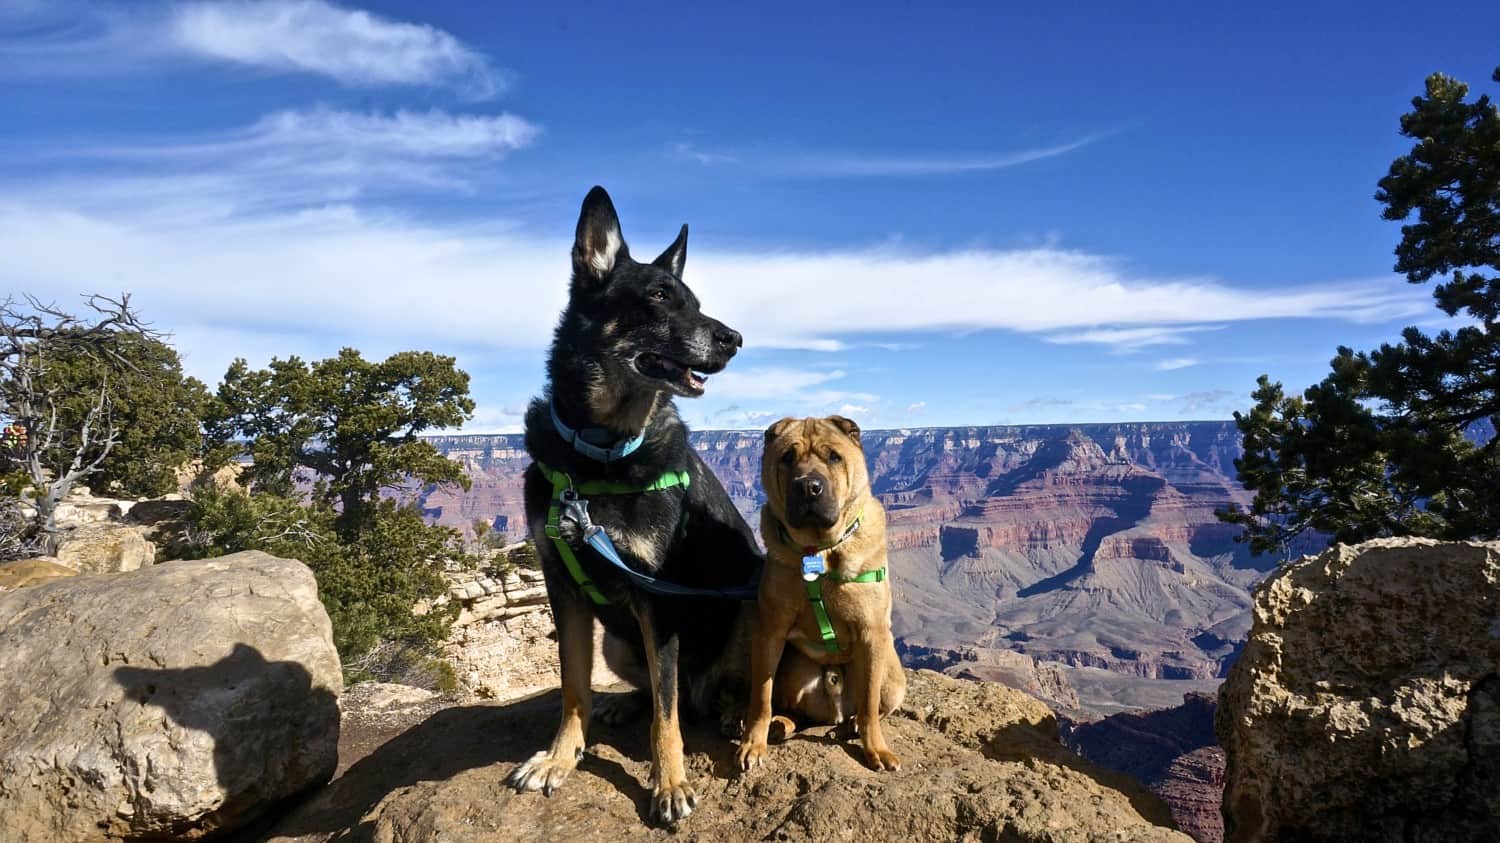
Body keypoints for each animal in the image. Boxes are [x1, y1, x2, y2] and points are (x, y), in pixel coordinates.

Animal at [504, 185, 762, 822]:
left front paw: (669, 783)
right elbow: (573, 686)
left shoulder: (655, 598)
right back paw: (626, 703)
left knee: (701, 694)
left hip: (752, 598)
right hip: (617, 642)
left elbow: (668, 721)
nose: (734, 338)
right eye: (658, 297)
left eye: (696, 302)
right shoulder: (563, 589)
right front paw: (560, 756)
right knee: (659, 690)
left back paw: (728, 710)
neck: (600, 454)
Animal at [738, 414, 900, 768]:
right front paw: (753, 743)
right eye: (787, 457)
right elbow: (761, 697)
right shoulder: (770, 631)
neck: (819, 551)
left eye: (834, 457)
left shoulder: (872, 633)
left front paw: (876, 748)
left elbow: (870, 706)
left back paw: (852, 725)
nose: (808, 487)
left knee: (872, 706)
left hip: (892, 676)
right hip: (794, 667)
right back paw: (781, 725)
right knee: (796, 711)